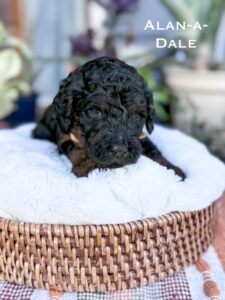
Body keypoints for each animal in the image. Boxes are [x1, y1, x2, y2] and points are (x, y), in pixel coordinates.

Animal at [32, 56, 185, 178]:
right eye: (96, 112)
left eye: (137, 115)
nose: (120, 150)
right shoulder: (65, 135)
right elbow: (77, 148)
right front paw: (88, 166)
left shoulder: (140, 137)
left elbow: (152, 148)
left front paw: (172, 169)